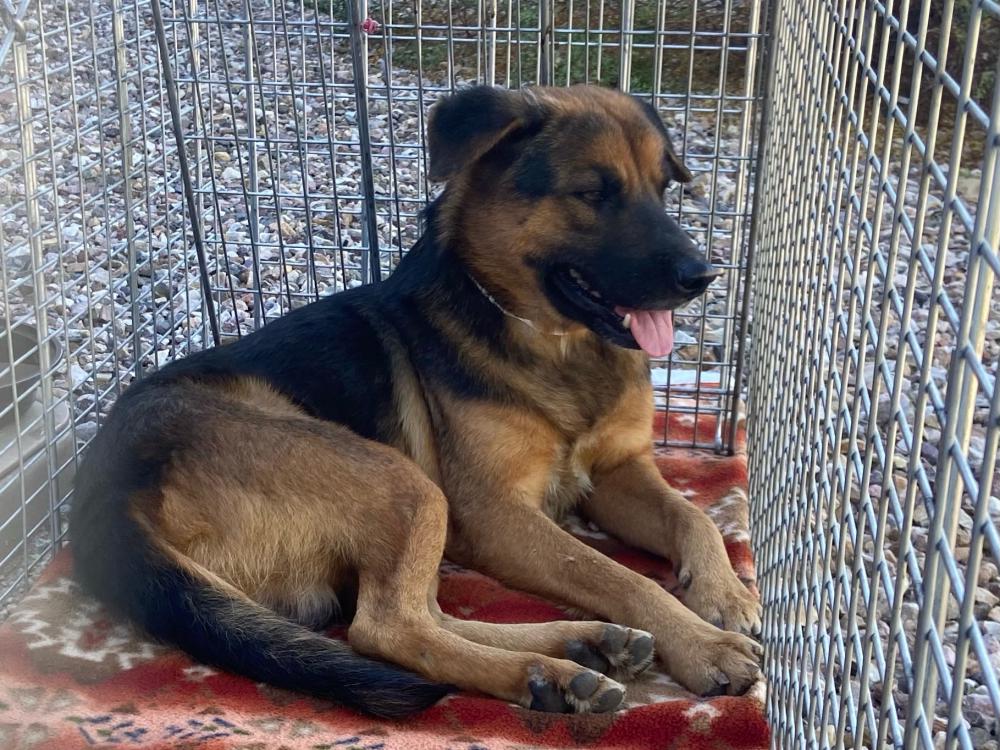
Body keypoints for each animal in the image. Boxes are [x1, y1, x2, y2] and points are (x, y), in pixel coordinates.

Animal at [70, 84, 762, 718]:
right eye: (592, 193)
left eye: (664, 188)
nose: (703, 276)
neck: (551, 341)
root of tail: (101, 497)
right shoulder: (496, 516)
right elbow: (614, 572)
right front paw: (703, 644)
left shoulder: (618, 471)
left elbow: (693, 517)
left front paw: (724, 594)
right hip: (401, 481)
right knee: (387, 629)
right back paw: (546, 673)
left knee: (415, 615)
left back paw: (582, 644)